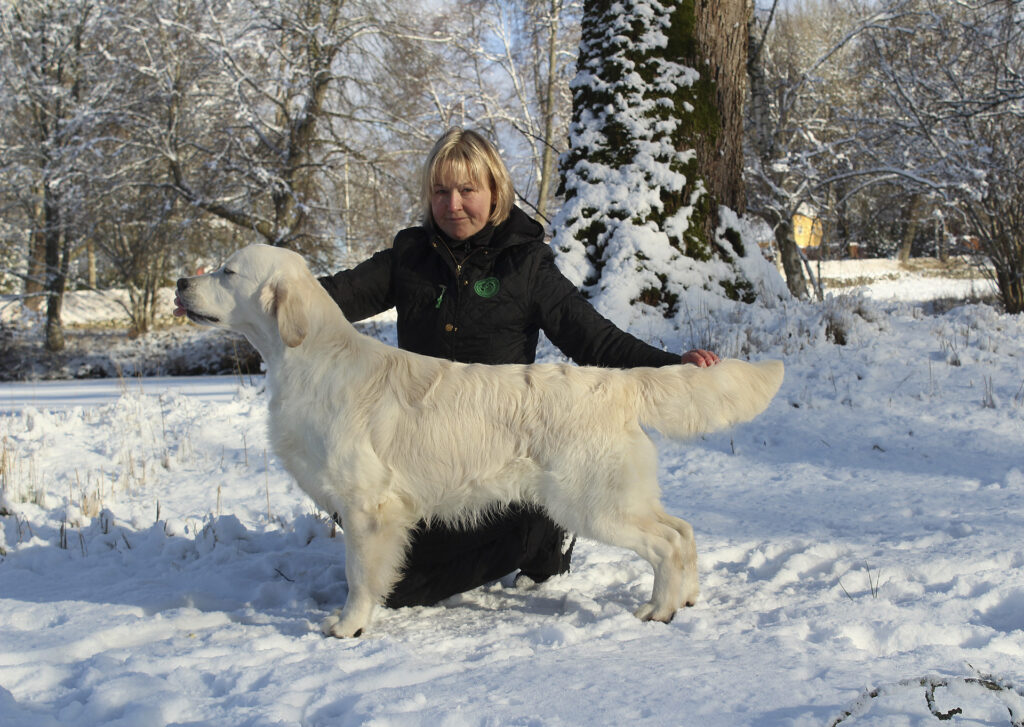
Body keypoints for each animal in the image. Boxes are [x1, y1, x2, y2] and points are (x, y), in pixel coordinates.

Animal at [175, 244, 784, 637]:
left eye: (227, 271)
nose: (180, 283)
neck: (311, 356)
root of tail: (617, 382)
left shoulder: (368, 506)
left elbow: (358, 575)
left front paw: (348, 626)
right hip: (617, 497)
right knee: (683, 530)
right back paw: (686, 597)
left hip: (594, 503)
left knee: (666, 542)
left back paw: (659, 610)